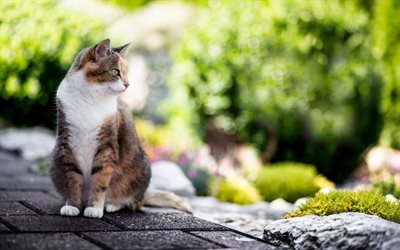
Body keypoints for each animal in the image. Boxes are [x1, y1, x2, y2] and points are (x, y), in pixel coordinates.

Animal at [50, 39, 192, 219]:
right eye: (116, 72)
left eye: (126, 73)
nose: (128, 84)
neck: (90, 99)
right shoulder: (67, 143)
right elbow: (73, 179)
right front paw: (72, 206)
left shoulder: (107, 147)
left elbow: (100, 181)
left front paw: (95, 208)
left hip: (139, 172)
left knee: (132, 203)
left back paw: (112, 205)